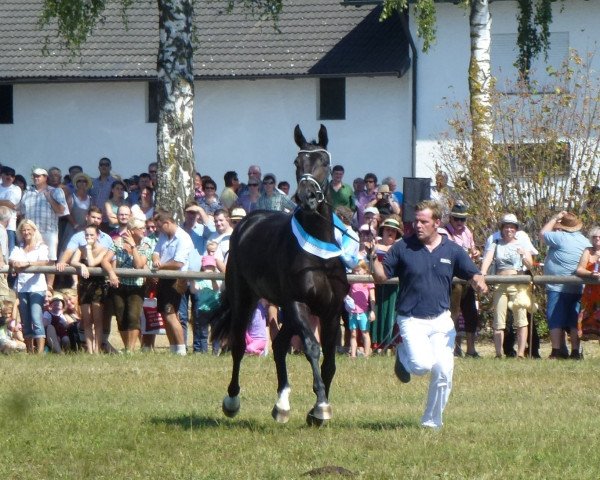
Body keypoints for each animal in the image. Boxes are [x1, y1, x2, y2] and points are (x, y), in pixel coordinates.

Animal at [213, 125, 350, 426]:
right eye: (297, 162)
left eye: (324, 162)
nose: (308, 197)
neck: (318, 259)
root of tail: (247, 222)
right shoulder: (298, 303)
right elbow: (312, 348)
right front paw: (320, 406)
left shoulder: (330, 311)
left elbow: (330, 362)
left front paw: (315, 411)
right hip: (246, 300)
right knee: (238, 345)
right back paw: (232, 401)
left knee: (277, 345)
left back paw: (282, 405)